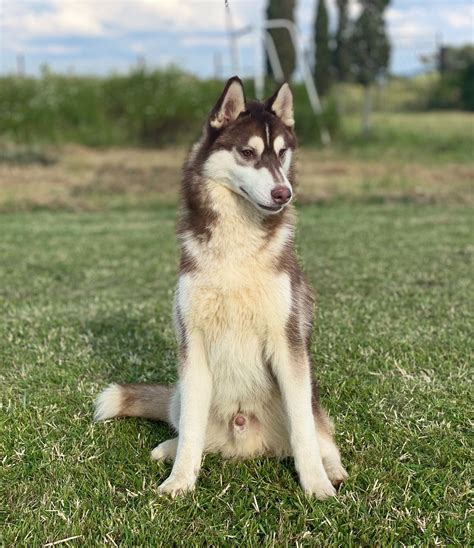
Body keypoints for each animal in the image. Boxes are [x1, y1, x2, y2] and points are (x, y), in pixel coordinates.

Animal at [96, 77, 348, 500]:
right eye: (248, 152)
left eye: (282, 153)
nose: (284, 193)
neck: (236, 248)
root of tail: (247, 445)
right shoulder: (193, 345)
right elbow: (192, 431)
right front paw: (180, 480)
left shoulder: (288, 343)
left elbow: (303, 433)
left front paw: (316, 485)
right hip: (181, 391)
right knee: (188, 426)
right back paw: (168, 448)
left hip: (309, 393)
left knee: (320, 435)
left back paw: (333, 469)